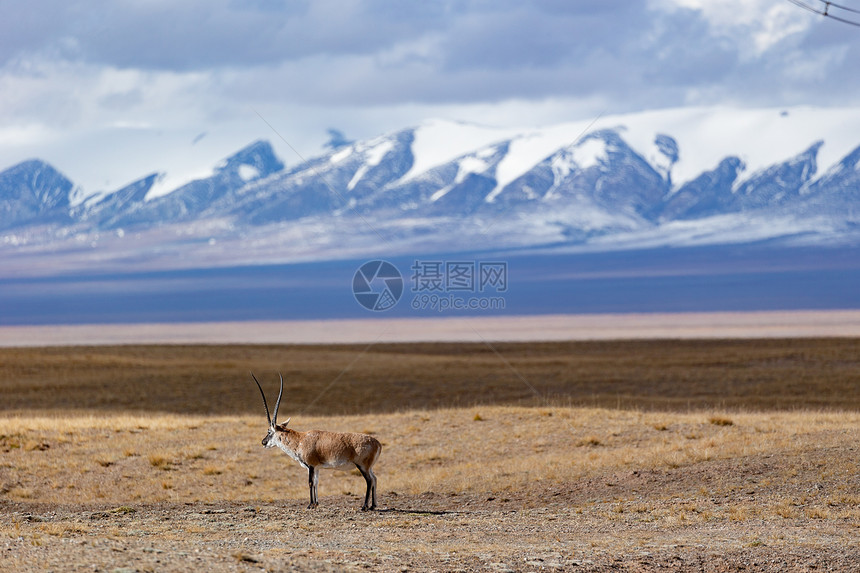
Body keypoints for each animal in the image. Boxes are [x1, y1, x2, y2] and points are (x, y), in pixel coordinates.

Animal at [250, 374, 382, 512]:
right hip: (368, 467)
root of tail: (377, 443)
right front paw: (316, 503)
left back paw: (364, 506)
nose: (263, 442)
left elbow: (310, 482)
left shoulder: (311, 466)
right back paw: (373, 505)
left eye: (269, 431)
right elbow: (316, 482)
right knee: (374, 479)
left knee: (369, 481)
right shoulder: (317, 468)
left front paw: (310, 504)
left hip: (362, 466)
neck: (300, 440)